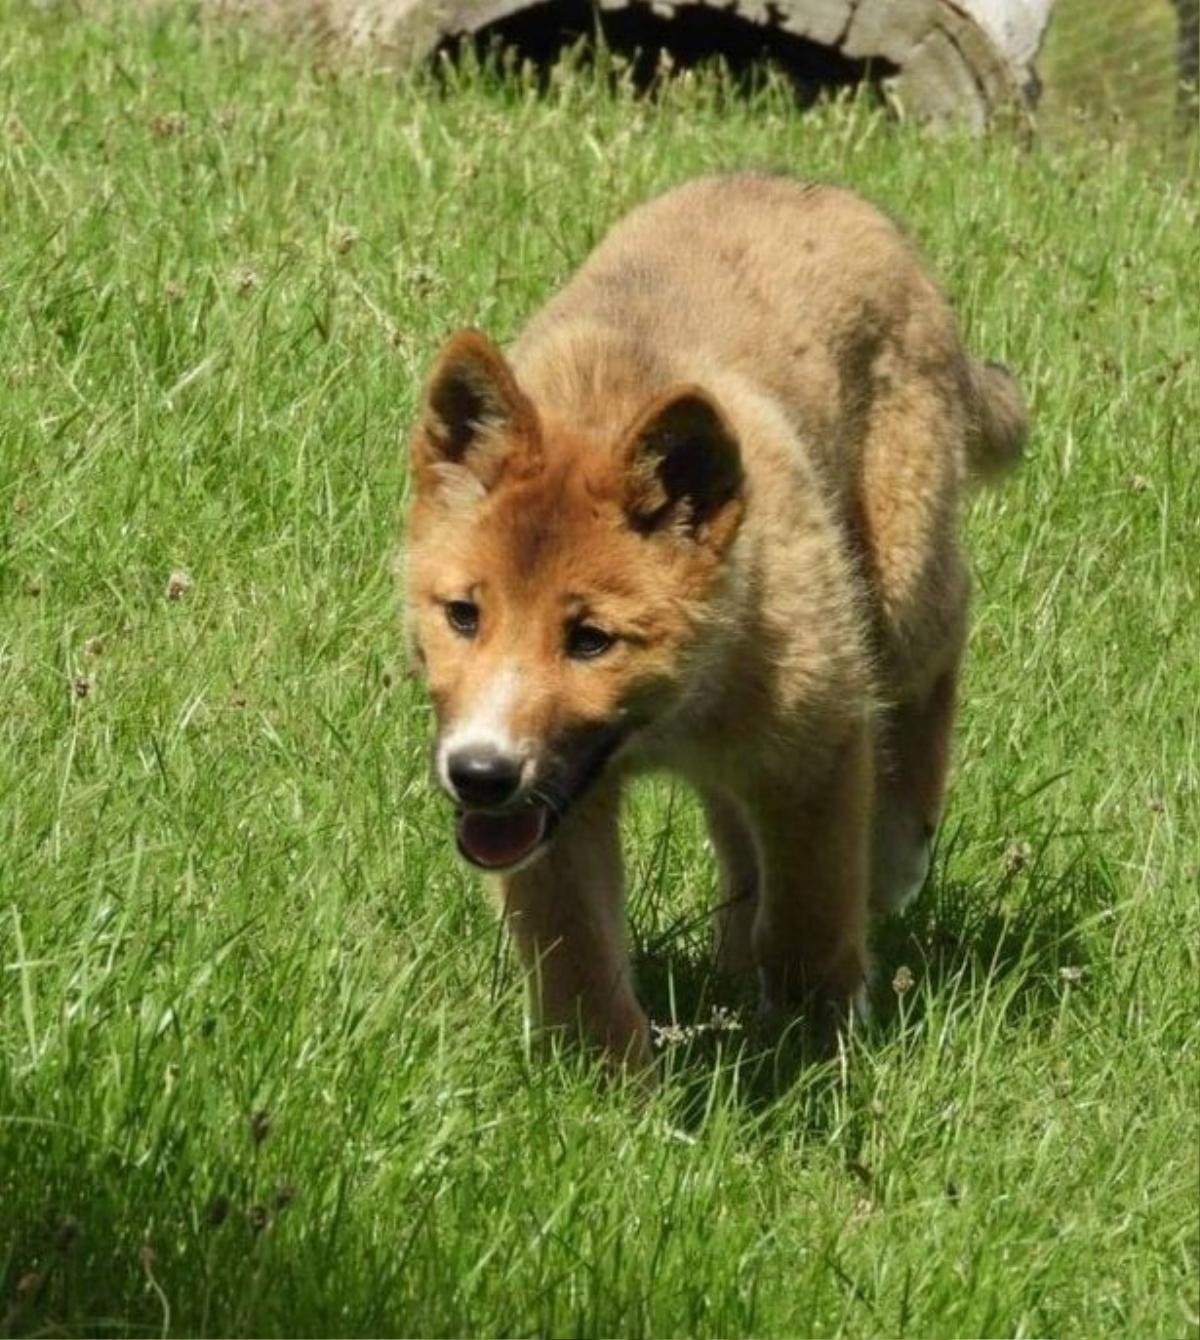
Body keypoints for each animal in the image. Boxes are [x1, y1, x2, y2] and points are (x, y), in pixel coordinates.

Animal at [401, 172, 1023, 1072]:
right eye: (462, 615)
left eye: (591, 639)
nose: (479, 773)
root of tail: (817, 188)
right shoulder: (557, 813)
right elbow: (578, 958)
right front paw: (612, 1091)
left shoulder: (819, 746)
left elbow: (809, 917)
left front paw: (809, 1043)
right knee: (737, 838)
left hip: (902, 580)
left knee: (937, 654)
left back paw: (897, 850)